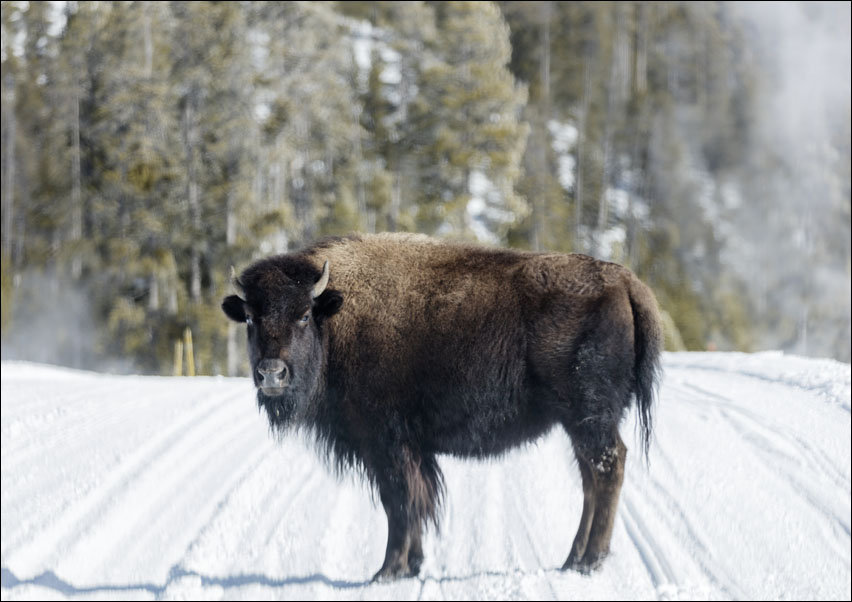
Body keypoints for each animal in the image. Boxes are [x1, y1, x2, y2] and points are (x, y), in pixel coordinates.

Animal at [222, 232, 662, 581]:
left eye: (303, 315)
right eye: (250, 318)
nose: (272, 374)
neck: (336, 317)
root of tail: (624, 281)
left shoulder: (387, 444)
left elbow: (400, 503)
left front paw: (388, 571)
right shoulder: (409, 450)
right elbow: (413, 502)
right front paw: (411, 565)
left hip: (589, 418)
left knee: (608, 469)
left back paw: (590, 561)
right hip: (579, 424)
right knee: (591, 479)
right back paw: (572, 559)